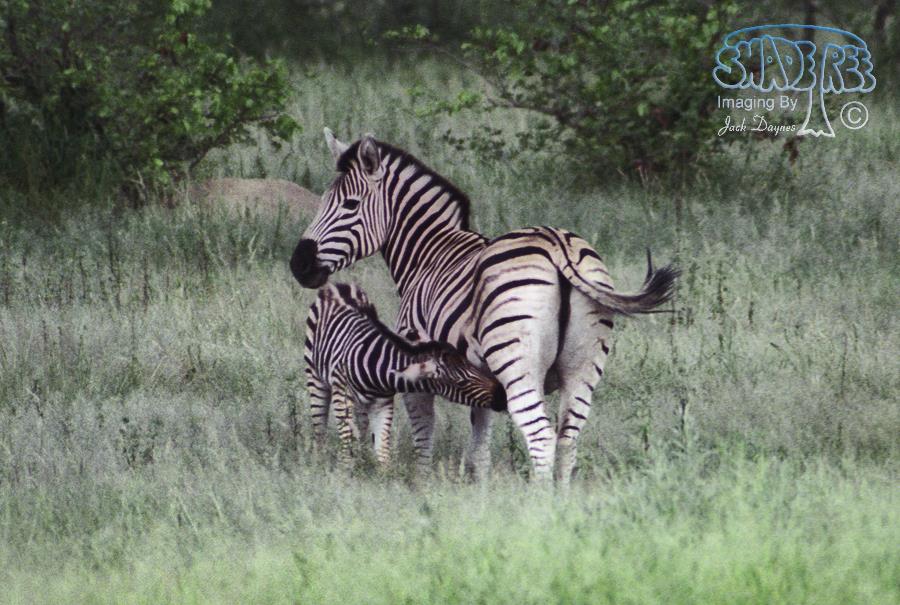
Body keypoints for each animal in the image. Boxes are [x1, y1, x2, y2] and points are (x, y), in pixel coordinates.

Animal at [304, 282, 506, 465]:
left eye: (472, 365)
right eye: (460, 382)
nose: (502, 396)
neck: (375, 367)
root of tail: (338, 285)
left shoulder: (383, 404)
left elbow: (382, 453)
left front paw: (380, 477)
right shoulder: (342, 397)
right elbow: (347, 444)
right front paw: (345, 474)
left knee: (360, 425)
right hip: (316, 379)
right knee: (320, 428)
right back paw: (319, 462)